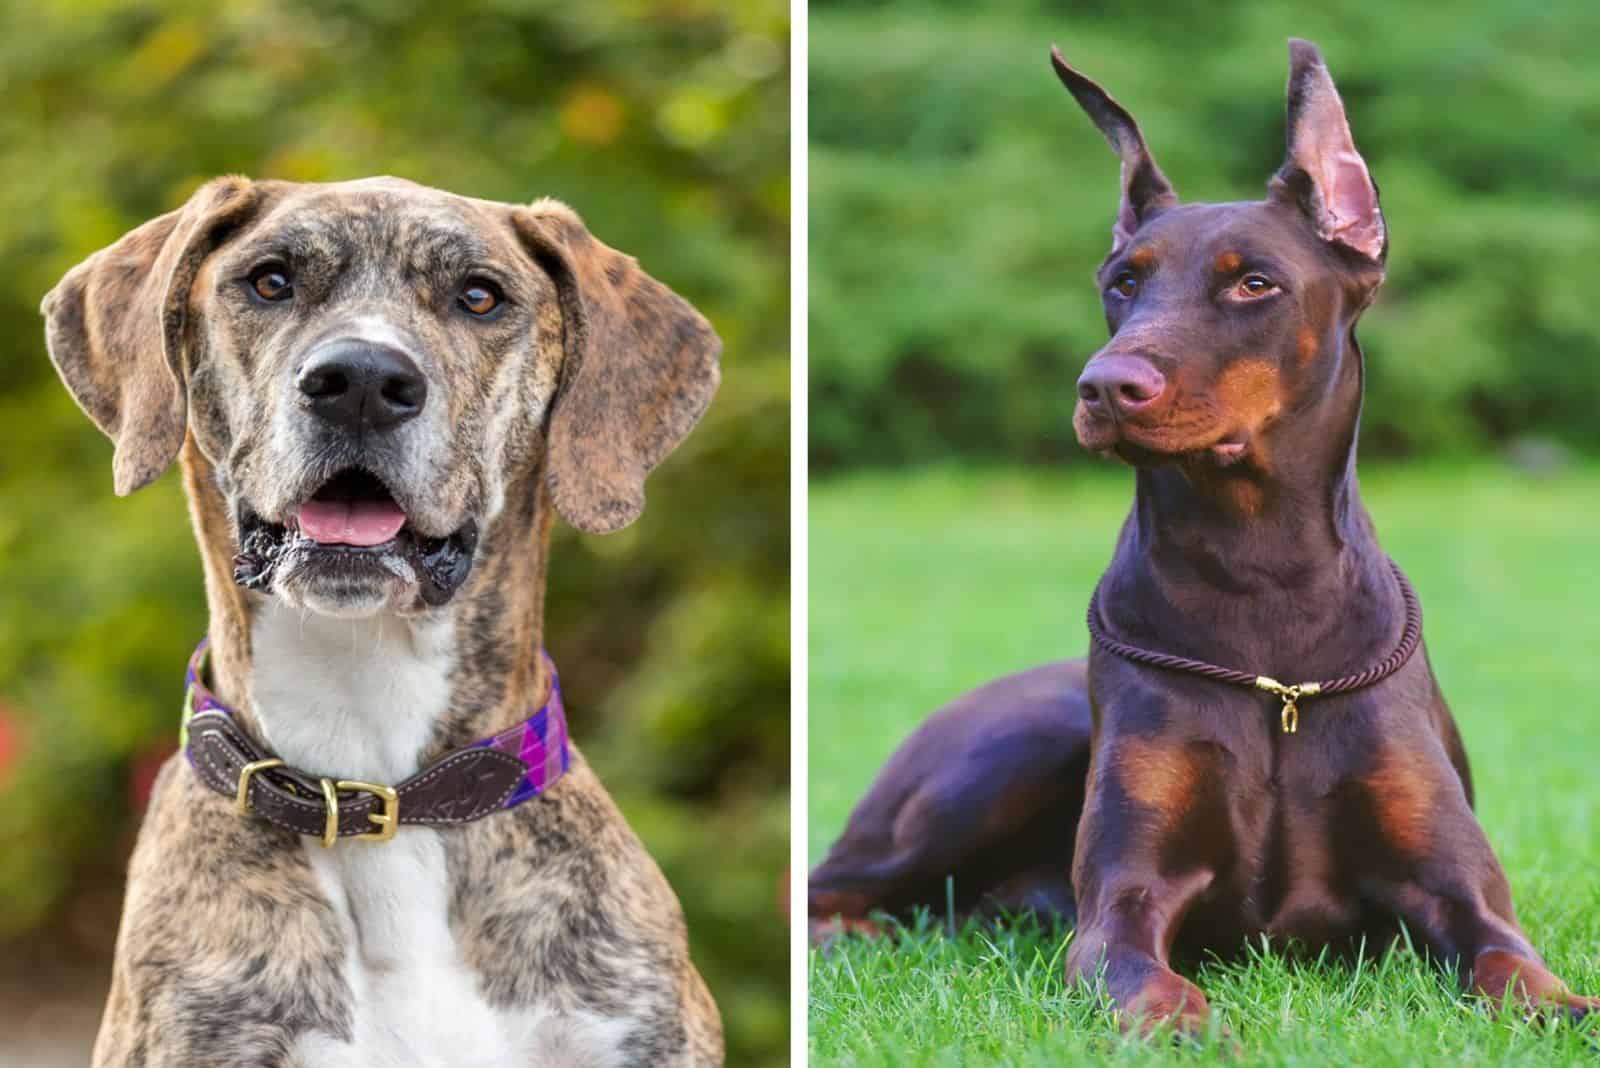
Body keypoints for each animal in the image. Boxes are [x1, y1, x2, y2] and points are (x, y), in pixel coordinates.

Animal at [812, 41, 1600, 1036]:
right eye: (1124, 282)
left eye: (1253, 281)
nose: (1106, 386)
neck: (1260, 577)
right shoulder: (1126, 897)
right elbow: (1139, 973)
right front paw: (1189, 1025)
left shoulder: (1460, 894)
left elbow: (1516, 966)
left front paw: (1567, 1005)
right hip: (996, 760)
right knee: (831, 884)